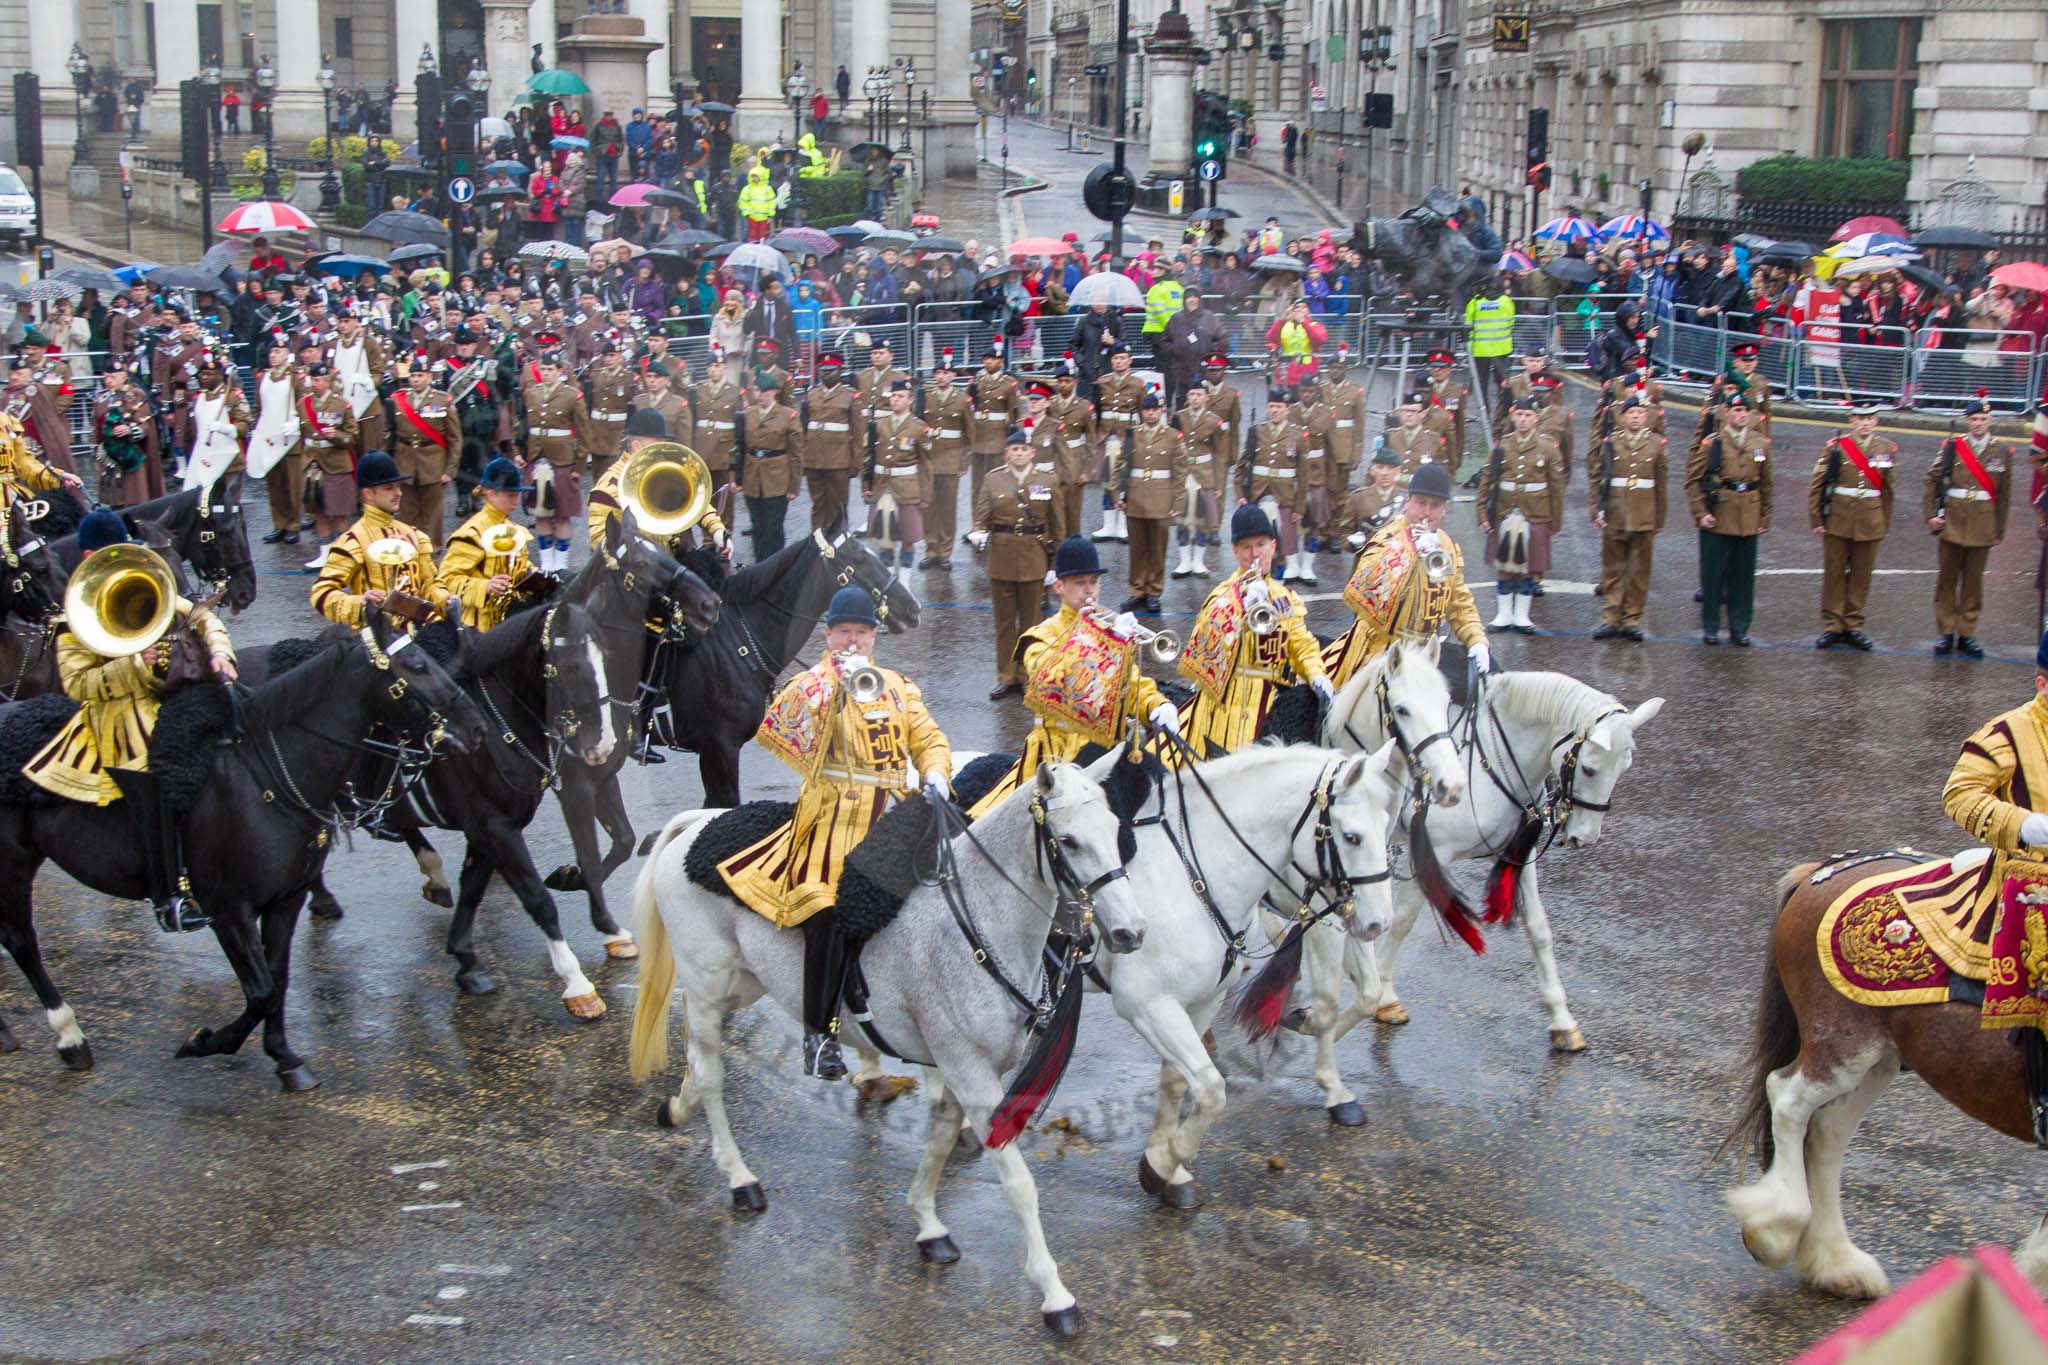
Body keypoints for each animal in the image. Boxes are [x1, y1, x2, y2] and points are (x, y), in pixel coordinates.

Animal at [0, 609, 487, 1088]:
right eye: (416, 666)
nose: (477, 726)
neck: (266, 779)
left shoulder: (285, 901)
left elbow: (278, 979)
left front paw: (284, 1057)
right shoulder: (228, 910)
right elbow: (261, 991)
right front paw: (204, 1042)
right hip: (15, 863)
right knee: (21, 941)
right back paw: (69, 1037)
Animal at [622, 753, 1155, 1342]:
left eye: (1115, 829)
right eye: (1069, 840)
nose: (1131, 932)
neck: (977, 924)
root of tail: (697, 824)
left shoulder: (963, 1067)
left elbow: (941, 1142)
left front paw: (927, 1223)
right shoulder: (971, 1073)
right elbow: (1018, 1184)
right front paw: (1055, 1294)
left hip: (742, 983)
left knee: (700, 1059)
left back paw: (678, 1107)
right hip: (708, 981)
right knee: (712, 1072)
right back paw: (740, 1177)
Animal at [1294, 671, 1662, 1055]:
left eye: (1625, 766)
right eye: (1589, 769)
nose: (1584, 837)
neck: (1490, 768)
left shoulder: (1519, 853)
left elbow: (1539, 929)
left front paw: (1562, 1020)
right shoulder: (1429, 853)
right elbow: (1401, 923)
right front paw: (1384, 998)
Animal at [1728, 859, 2048, 1301]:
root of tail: (1821, 873)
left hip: (1881, 1060)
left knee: (1827, 1130)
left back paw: (1837, 1263)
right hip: (1844, 1046)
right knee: (1788, 1099)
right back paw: (1776, 1228)